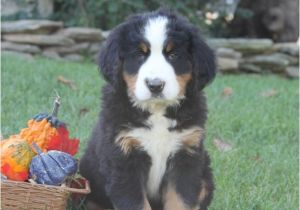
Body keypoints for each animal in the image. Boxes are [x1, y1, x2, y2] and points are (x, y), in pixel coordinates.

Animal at [79, 8, 216, 210]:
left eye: (173, 55)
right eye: (139, 54)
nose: (155, 85)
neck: (157, 111)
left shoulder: (186, 155)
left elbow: (180, 200)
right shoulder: (123, 158)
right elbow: (137, 203)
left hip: (205, 175)